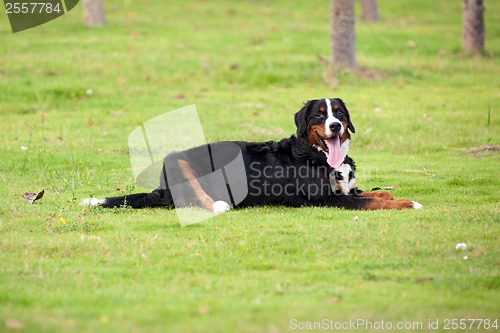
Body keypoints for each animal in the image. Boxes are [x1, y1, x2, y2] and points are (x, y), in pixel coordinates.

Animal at [85, 98, 422, 210]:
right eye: (319, 115)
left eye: (339, 112)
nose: (336, 126)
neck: (315, 154)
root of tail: (161, 188)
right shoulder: (324, 199)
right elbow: (376, 202)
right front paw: (410, 203)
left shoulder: (343, 190)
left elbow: (381, 194)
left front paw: (398, 196)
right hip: (177, 158)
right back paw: (219, 204)